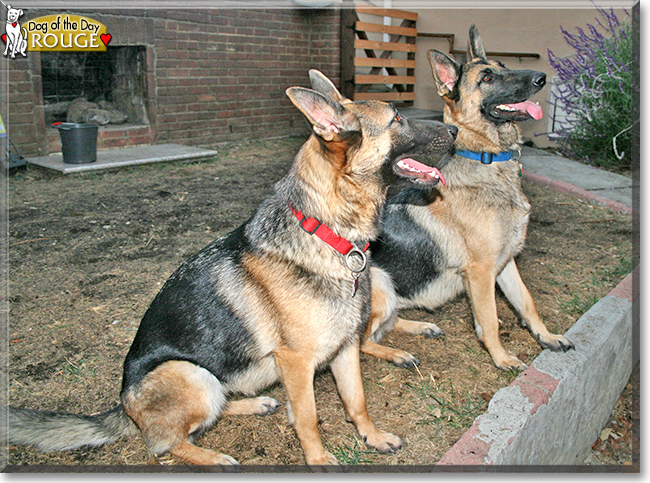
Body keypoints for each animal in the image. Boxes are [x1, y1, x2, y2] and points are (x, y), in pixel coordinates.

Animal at [1, 70, 456, 466]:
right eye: (397, 118)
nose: (453, 131)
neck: (327, 233)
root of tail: (123, 404)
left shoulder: (344, 349)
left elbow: (356, 400)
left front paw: (371, 436)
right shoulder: (296, 363)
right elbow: (308, 418)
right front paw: (318, 459)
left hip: (211, 381)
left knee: (213, 411)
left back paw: (255, 404)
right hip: (191, 374)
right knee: (166, 443)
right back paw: (214, 457)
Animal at [362, 26, 576, 372]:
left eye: (503, 66)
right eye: (487, 78)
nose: (542, 77)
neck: (487, 159)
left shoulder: (506, 263)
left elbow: (526, 303)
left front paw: (547, 337)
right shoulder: (481, 271)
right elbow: (489, 320)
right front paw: (502, 358)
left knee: (387, 324)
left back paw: (421, 326)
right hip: (380, 286)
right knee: (361, 340)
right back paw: (397, 353)